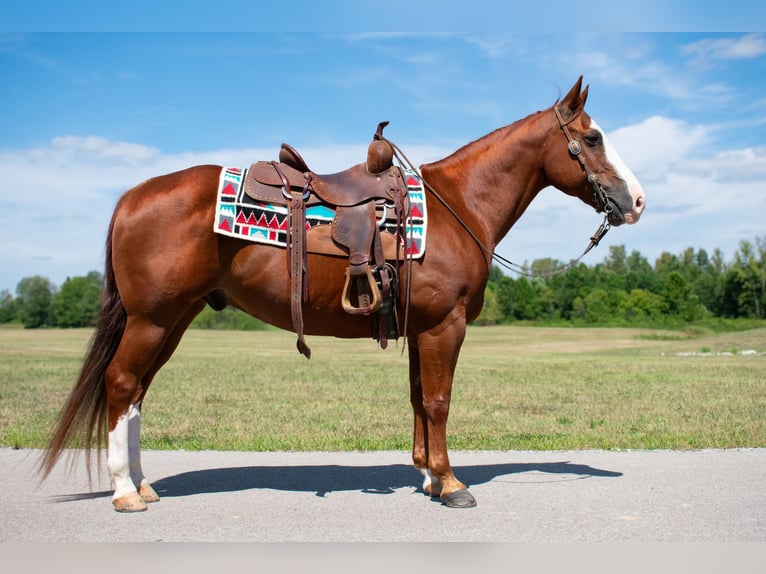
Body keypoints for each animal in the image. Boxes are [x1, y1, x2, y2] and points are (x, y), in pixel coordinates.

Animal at [39, 76, 644, 512]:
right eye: (593, 138)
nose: (636, 201)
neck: (457, 205)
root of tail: (132, 195)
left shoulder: (421, 327)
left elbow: (419, 399)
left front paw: (427, 475)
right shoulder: (445, 325)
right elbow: (440, 401)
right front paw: (451, 485)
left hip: (174, 319)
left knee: (137, 394)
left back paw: (143, 484)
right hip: (152, 319)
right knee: (122, 385)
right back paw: (124, 492)